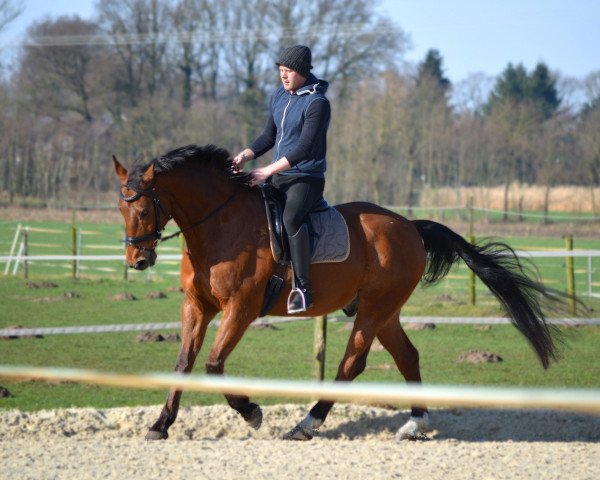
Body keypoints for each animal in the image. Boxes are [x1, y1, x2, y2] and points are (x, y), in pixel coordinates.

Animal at [112, 143, 564, 442]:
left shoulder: (241, 308)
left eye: (144, 207)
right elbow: (183, 362)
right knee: (407, 356)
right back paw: (414, 423)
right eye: (120, 207)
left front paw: (252, 412)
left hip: (375, 309)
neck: (219, 226)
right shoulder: (197, 306)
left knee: (352, 363)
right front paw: (160, 425)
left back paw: (307, 424)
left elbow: (213, 364)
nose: (137, 261)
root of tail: (409, 226)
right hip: (383, 311)